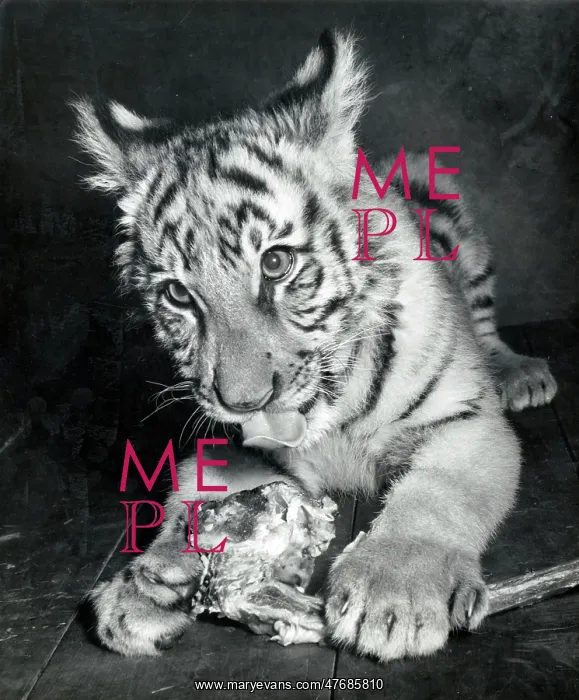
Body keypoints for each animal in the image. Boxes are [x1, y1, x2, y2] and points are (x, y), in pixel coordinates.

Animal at [72, 30, 557, 662]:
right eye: (178, 294)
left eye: (277, 263)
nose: (243, 402)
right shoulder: (237, 447)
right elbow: (192, 502)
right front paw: (144, 585)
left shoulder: (464, 421)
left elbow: (436, 495)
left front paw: (394, 592)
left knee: (486, 322)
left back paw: (520, 374)